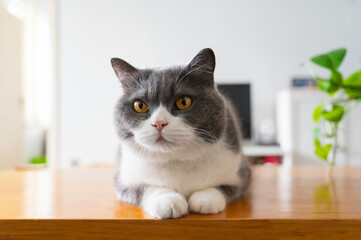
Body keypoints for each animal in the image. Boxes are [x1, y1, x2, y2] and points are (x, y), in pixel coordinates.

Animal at [111, 47, 249, 218]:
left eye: (183, 102)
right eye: (139, 105)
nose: (159, 123)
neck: (175, 160)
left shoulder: (241, 173)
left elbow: (223, 187)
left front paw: (205, 199)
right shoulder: (123, 181)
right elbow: (148, 187)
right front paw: (168, 202)